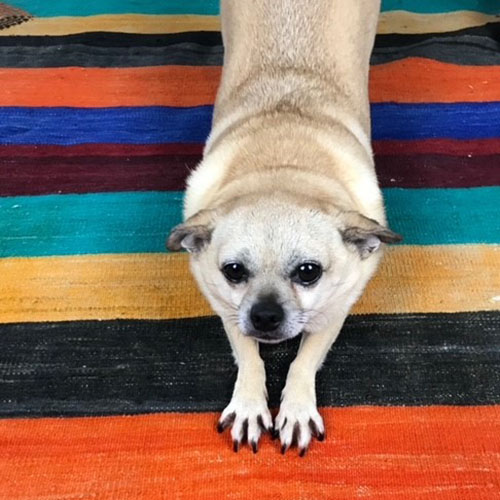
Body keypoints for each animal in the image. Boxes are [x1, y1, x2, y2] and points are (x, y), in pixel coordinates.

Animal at [170, 0, 400, 456]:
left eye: (308, 273)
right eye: (233, 271)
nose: (264, 316)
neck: (283, 164)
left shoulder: (334, 310)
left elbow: (303, 361)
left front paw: (295, 407)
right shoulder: (227, 307)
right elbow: (248, 354)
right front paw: (249, 402)